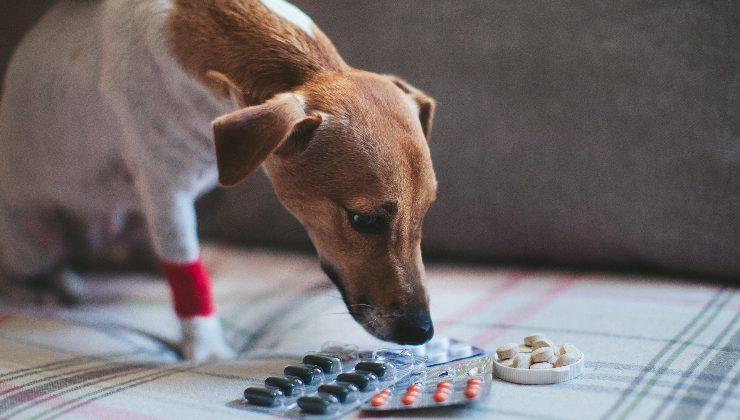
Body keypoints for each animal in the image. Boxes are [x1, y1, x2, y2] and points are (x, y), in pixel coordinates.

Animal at [0, 0, 436, 360]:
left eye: (426, 211)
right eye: (363, 220)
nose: (423, 332)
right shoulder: (167, 196)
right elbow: (186, 276)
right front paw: (207, 350)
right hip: (36, 241)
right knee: (36, 267)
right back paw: (47, 287)